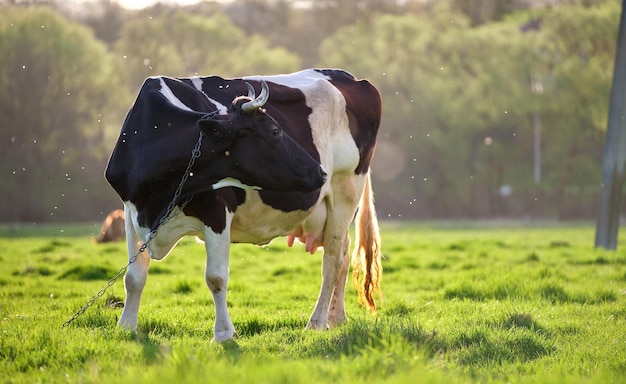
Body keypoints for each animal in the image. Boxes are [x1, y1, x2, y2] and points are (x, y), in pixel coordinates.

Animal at [105, 69, 380, 342]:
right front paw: (126, 326)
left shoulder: (216, 211)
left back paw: (317, 322)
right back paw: (336, 318)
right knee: (344, 254)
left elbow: (215, 277)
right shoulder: (131, 211)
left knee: (332, 260)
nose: (319, 171)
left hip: (345, 191)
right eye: (275, 131)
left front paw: (223, 333)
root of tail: (349, 77)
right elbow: (134, 276)